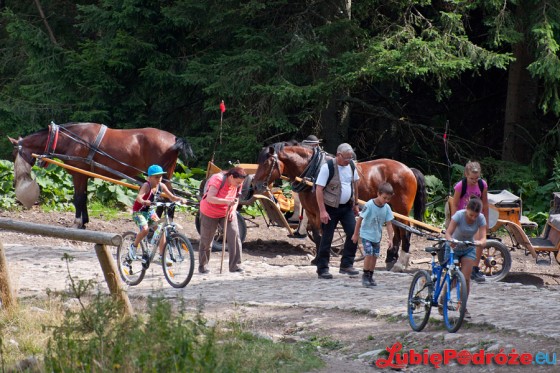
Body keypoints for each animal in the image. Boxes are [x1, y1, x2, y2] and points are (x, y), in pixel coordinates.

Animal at [6, 122, 195, 227]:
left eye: (14, 153)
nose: (15, 181)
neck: (73, 140)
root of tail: (174, 139)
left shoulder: (78, 175)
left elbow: (78, 198)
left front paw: (78, 223)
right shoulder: (84, 175)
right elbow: (84, 197)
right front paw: (84, 221)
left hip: (162, 177)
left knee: (169, 200)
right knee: (165, 200)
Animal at [252, 143, 426, 270]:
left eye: (267, 162)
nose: (254, 185)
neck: (314, 173)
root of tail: (408, 169)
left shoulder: (322, 212)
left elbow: (324, 235)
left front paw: (323, 259)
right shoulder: (312, 212)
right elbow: (317, 236)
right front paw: (316, 259)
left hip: (402, 208)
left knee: (406, 232)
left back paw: (401, 263)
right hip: (391, 208)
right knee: (397, 232)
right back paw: (391, 258)